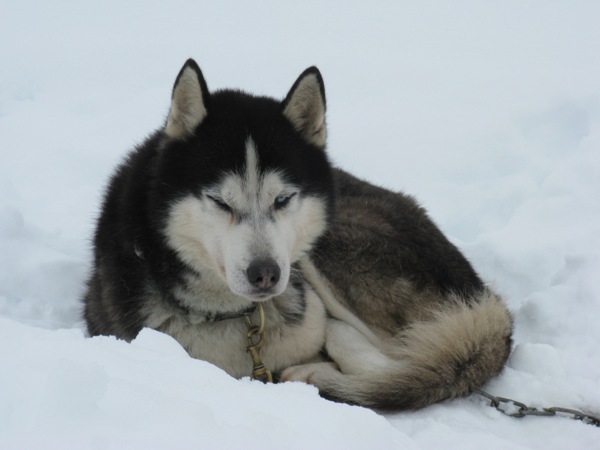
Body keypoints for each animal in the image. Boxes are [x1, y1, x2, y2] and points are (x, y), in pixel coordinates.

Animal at [83, 58, 512, 410]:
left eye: (283, 198)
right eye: (220, 201)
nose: (265, 274)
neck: (242, 317)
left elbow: (363, 352)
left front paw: (314, 372)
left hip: (331, 250)